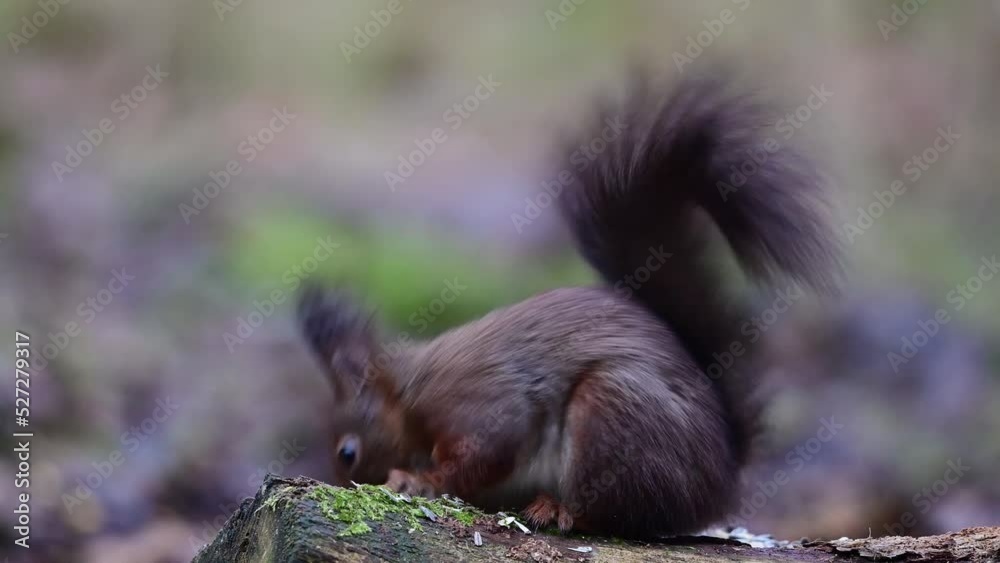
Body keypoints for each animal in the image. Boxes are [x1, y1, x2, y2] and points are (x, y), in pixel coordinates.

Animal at [297, 69, 841, 538]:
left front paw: (420, 480)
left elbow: (489, 449)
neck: (409, 393)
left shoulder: (475, 402)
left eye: (347, 452)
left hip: (613, 411)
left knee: (615, 511)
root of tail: (722, 479)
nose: (345, 484)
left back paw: (556, 508)